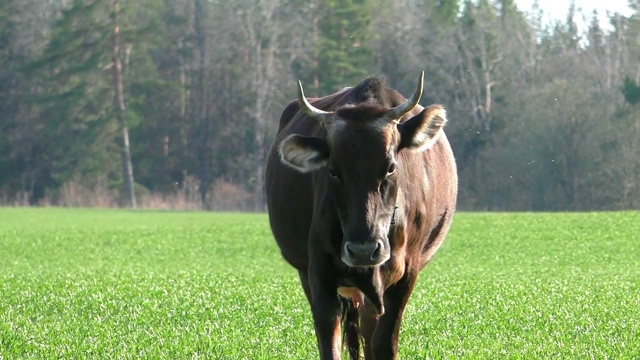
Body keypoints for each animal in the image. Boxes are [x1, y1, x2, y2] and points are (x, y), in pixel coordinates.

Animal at [266, 73, 460, 360]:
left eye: (390, 168)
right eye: (333, 171)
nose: (363, 251)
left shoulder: (405, 274)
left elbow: (384, 344)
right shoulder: (319, 272)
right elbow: (329, 342)